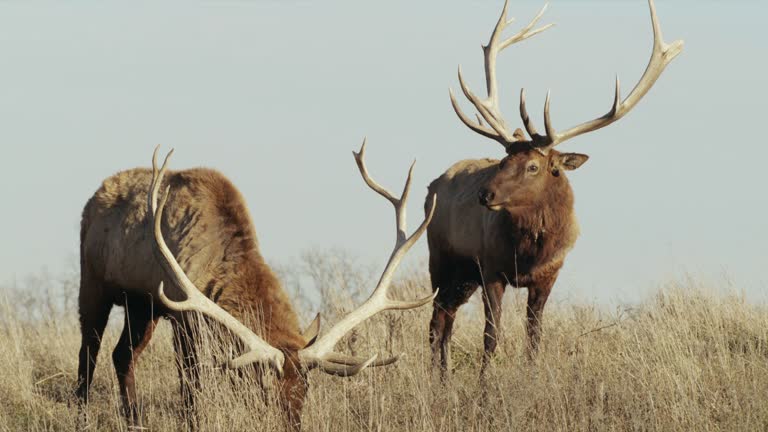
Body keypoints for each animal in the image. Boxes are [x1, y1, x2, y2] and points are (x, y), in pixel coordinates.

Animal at [76, 143, 436, 430]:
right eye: (265, 388)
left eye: (305, 388)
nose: (291, 426)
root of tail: (93, 197)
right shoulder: (183, 315)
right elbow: (190, 386)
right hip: (93, 283)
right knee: (89, 352)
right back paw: (82, 413)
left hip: (141, 306)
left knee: (123, 355)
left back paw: (134, 421)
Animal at [426, 0, 683, 377]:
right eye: (504, 160)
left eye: (533, 166)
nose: (484, 194)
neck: (529, 252)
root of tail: (433, 183)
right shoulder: (491, 268)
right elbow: (491, 336)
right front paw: (485, 384)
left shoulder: (549, 275)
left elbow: (534, 337)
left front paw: (531, 377)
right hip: (442, 259)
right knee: (436, 322)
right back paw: (437, 378)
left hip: (463, 276)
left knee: (446, 320)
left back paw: (443, 378)